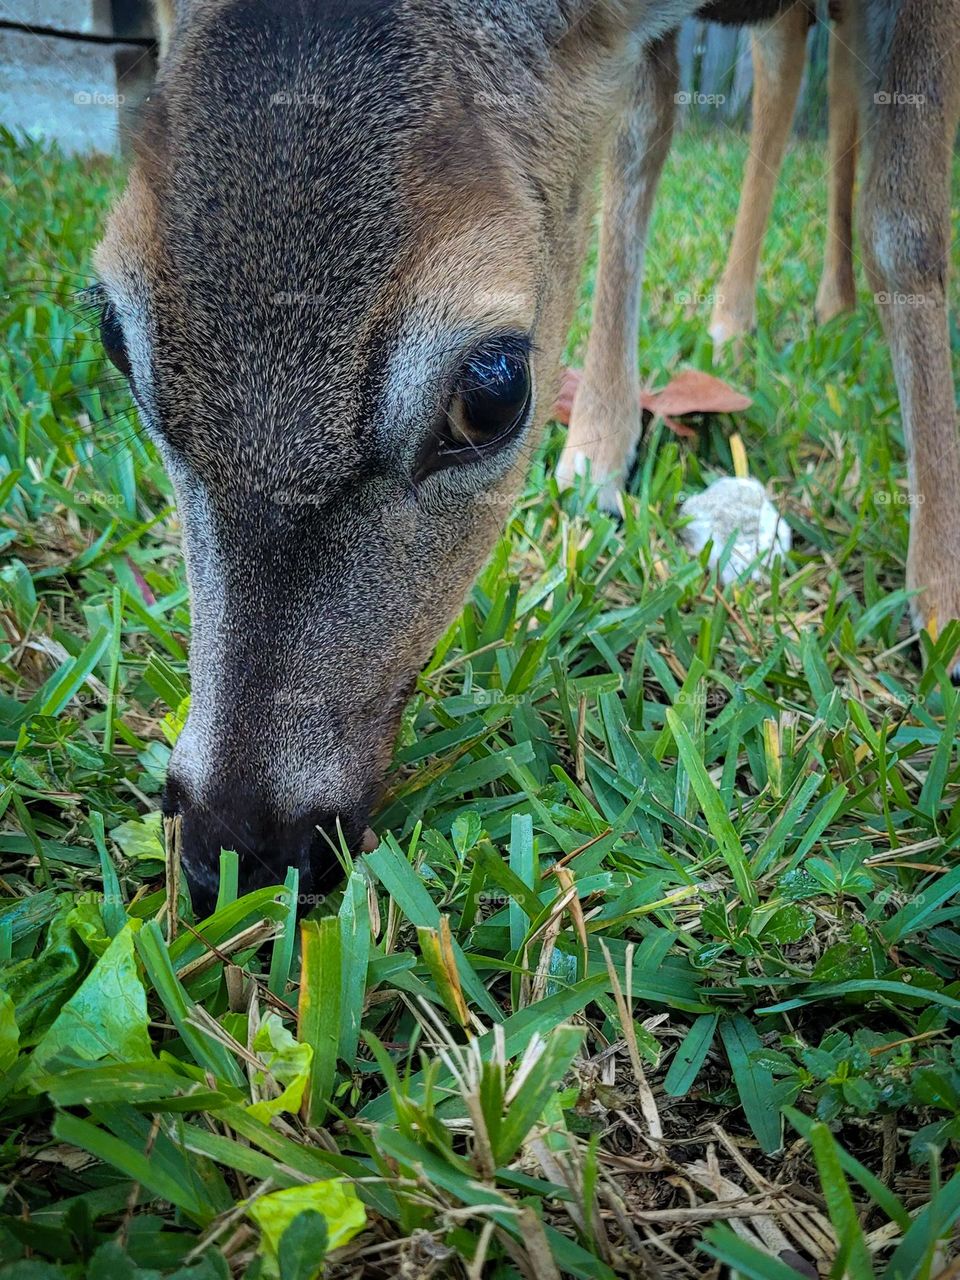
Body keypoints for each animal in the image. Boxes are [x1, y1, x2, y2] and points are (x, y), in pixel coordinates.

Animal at [96, 2, 960, 921]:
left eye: (494, 391)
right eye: (112, 333)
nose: (236, 847)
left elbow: (907, 226)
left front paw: (943, 605)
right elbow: (636, 147)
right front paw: (598, 455)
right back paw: (764, 314)